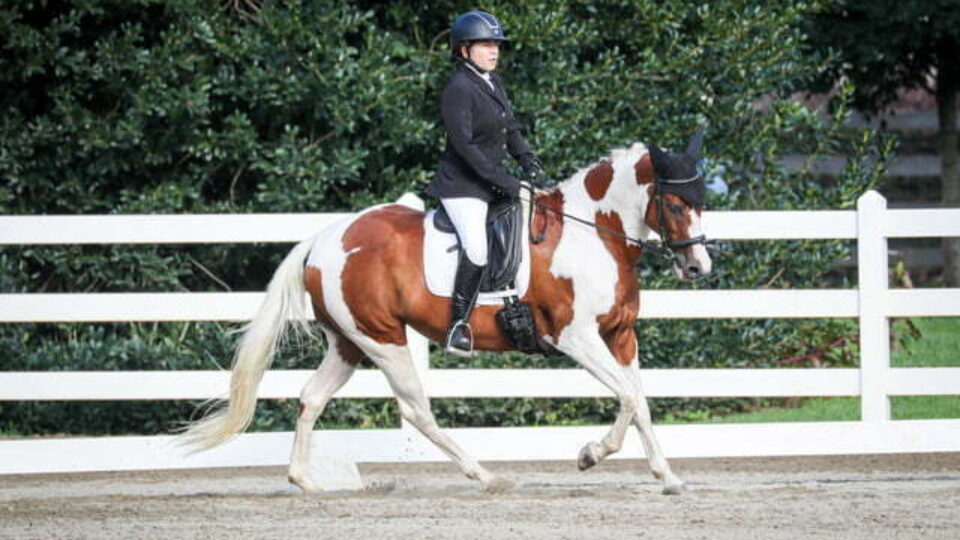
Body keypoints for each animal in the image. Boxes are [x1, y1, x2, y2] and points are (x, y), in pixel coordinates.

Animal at [181, 135, 712, 495]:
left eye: (701, 200)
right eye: (674, 202)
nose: (698, 266)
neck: (593, 234)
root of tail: (324, 238)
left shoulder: (621, 334)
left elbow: (639, 401)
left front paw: (667, 476)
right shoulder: (574, 336)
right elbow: (627, 397)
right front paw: (589, 455)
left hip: (349, 343)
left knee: (311, 397)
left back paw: (304, 480)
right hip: (384, 340)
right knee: (416, 410)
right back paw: (486, 475)